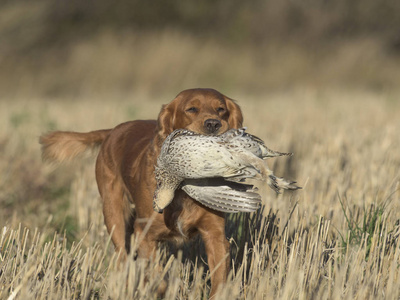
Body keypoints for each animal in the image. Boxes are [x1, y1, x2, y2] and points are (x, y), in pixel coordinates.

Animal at [39, 88, 244, 296]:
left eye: (221, 109)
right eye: (191, 109)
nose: (213, 124)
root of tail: (113, 130)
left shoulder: (215, 235)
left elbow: (219, 280)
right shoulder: (145, 231)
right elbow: (157, 277)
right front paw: (163, 288)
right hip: (113, 213)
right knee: (122, 257)